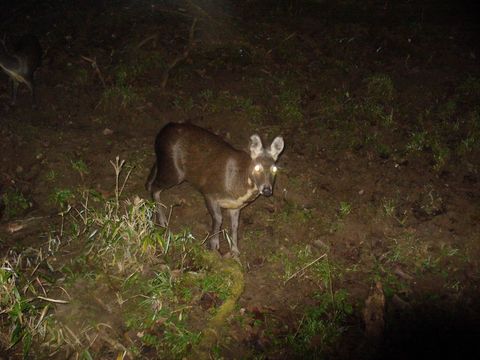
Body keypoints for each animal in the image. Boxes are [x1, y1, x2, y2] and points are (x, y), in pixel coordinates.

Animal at [144, 124, 284, 256]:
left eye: (274, 169)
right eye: (257, 168)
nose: (267, 190)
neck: (238, 186)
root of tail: (162, 131)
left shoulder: (236, 206)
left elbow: (235, 226)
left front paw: (235, 251)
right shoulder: (209, 192)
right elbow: (218, 218)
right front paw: (213, 245)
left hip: (165, 164)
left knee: (152, 177)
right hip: (175, 171)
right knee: (155, 187)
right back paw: (162, 221)